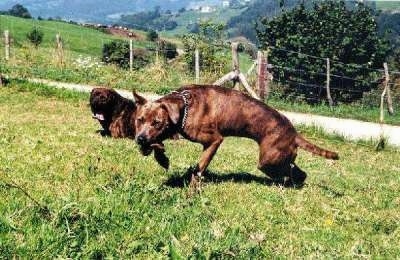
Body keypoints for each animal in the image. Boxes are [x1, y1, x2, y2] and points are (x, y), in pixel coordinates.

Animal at [133, 85, 340, 185]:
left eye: (157, 123)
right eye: (139, 119)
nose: (140, 139)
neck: (185, 106)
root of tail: (294, 132)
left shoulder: (214, 141)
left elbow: (200, 168)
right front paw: (161, 158)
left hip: (268, 161)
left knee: (290, 172)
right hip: (279, 158)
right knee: (298, 171)